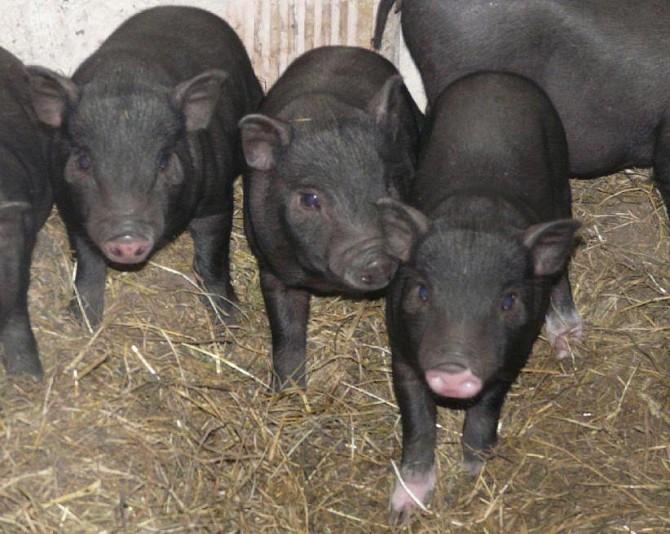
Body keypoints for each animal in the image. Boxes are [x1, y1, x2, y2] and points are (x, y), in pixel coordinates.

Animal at [29, 6, 266, 326]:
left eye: (163, 160)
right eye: (83, 161)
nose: (127, 238)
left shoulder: (216, 199)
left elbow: (212, 258)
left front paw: (230, 320)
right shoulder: (71, 209)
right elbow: (87, 262)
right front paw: (82, 320)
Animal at [239, 47, 422, 390]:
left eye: (388, 184)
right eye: (310, 199)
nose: (376, 259)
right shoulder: (271, 264)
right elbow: (286, 328)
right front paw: (289, 391)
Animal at [384, 73, 584, 524]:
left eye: (507, 301)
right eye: (422, 291)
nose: (453, 369)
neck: (477, 214)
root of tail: (498, 76)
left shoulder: (511, 354)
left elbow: (486, 408)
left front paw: (474, 471)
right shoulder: (401, 349)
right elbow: (417, 421)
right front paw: (403, 510)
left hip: (561, 168)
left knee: (560, 263)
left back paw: (569, 343)